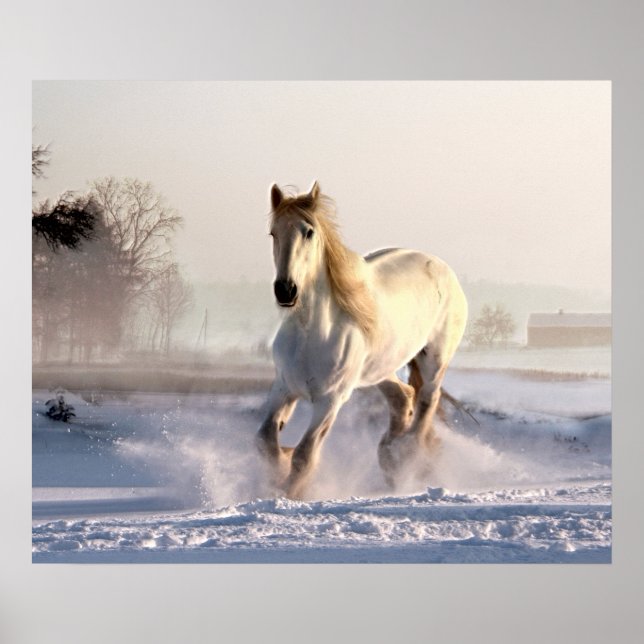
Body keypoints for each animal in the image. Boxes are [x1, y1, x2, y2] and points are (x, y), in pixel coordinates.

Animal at [255, 181, 468, 499]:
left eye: (309, 232)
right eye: (273, 233)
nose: (286, 290)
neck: (310, 334)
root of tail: (444, 270)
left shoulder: (330, 400)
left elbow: (305, 456)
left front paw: (290, 493)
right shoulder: (283, 388)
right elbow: (266, 441)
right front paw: (280, 467)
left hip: (434, 360)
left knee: (427, 401)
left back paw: (405, 456)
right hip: (378, 370)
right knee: (403, 396)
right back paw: (389, 456)